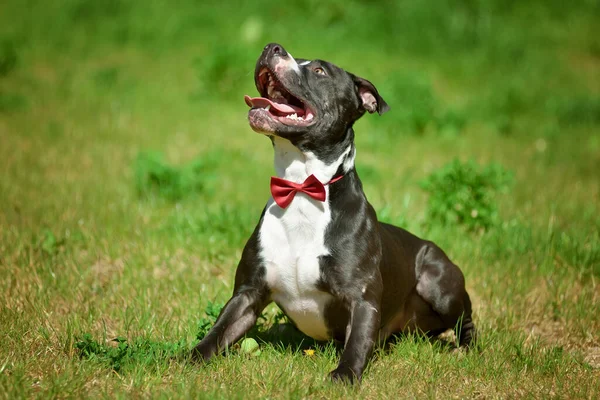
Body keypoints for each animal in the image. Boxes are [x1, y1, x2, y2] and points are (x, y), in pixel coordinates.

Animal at [195, 43, 476, 382]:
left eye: (319, 71)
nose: (272, 47)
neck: (301, 187)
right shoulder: (248, 294)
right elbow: (218, 331)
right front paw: (186, 359)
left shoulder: (361, 297)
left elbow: (356, 342)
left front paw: (344, 376)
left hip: (440, 285)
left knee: (466, 317)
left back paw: (466, 348)